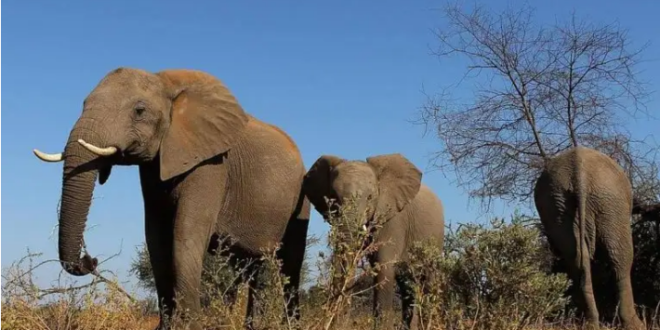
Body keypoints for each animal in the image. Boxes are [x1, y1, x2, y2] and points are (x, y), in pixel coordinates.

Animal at [31, 67, 310, 330]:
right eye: (84, 104)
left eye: (139, 111)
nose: (90, 260)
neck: (166, 82)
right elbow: (156, 239)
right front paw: (166, 326)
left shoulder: (211, 164)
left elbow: (184, 235)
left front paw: (191, 326)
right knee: (250, 266)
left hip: (300, 198)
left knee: (290, 265)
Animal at [302, 153, 446, 328]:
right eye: (334, 197)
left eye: (370, 197)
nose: (336, 323)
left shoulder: (393, 219)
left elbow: (382, 266)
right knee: (407, 286)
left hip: (436, 239)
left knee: (428, 280)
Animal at [532, 147, 644, 330]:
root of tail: (578, 173)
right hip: (611, 201)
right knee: (621, 257)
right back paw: (635, 324)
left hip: (557, 204)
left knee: (577, 258)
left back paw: (590, 322)